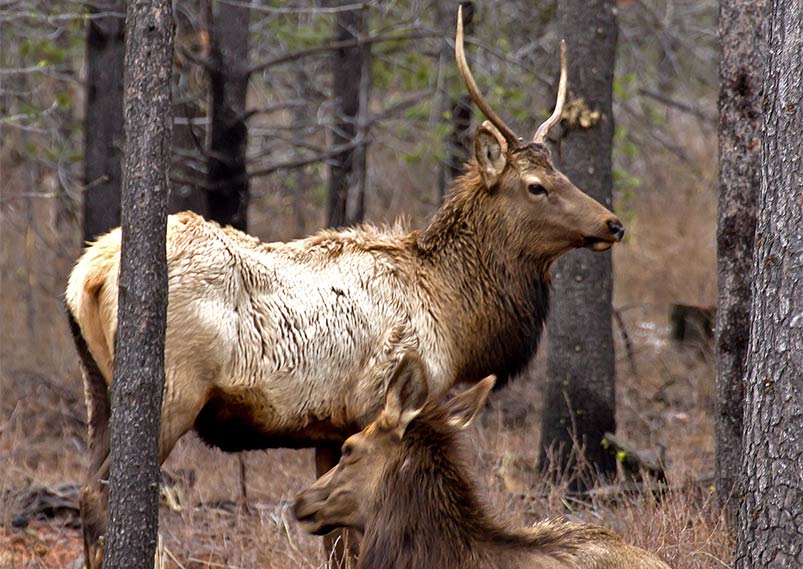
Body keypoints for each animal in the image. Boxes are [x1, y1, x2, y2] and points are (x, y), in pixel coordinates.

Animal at [66, 7, 624, 564]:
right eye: (536, 186)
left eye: (563, 174)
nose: (613, 223)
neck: (454, 316)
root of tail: (88, 274)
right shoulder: (374, 403)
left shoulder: (329, 427)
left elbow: (335, 539)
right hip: (173, 388)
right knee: (102, 490)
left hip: (97, 385)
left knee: (85, 487)